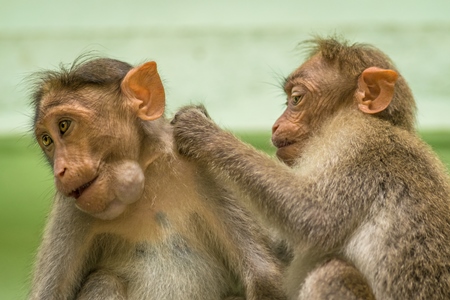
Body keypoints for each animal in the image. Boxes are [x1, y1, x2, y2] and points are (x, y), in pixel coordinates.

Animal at [29, 57, 284, 298]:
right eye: (47, 140)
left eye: (64, 126)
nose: (60, 170)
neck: (146, 172)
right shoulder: (71, 209)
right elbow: (49, 295)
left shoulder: (203, 170)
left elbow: (263, 275)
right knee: (103, 281)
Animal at [173, 37, 450, 300]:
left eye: (296, 99)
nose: (275, 125)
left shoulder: (356, 143)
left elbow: (313, 215)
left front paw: (203, 132)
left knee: (331, 272)